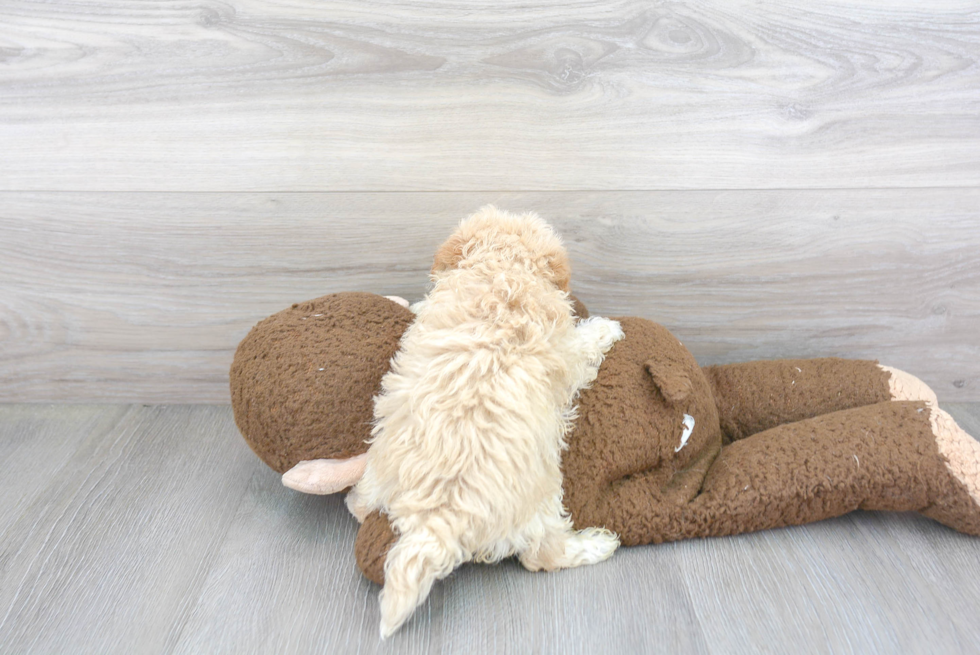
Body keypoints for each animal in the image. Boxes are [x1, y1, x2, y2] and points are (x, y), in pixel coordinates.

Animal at [344, 208, 620, 640]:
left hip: (381, 459)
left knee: (363, 502)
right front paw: (605, 328)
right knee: (543, 555)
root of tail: (436, 517)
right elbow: (582, 344)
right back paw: (595, 545)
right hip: (540, 501)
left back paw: (356, 501)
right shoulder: (566, 351)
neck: (502, 267)